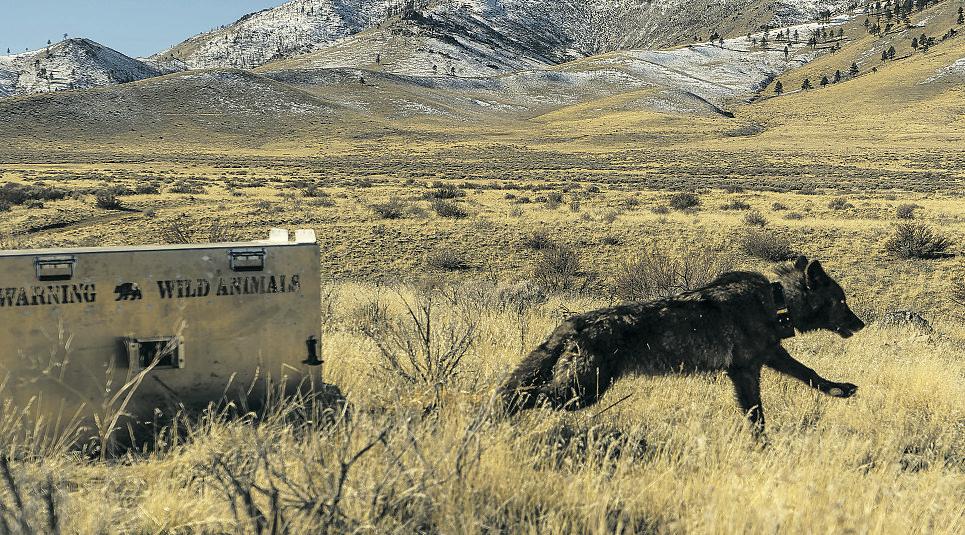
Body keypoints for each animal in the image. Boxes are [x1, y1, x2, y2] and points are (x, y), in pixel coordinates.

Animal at [499, 256, 865, 432]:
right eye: (842, 301)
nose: (861, 324)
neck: (775, 302)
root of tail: (573, 323)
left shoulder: (767, 358)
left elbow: (809, 375)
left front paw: (838, 389)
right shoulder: (747, 371)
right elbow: (759, 414)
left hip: (579, 390)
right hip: (582, 391)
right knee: (522, 396)